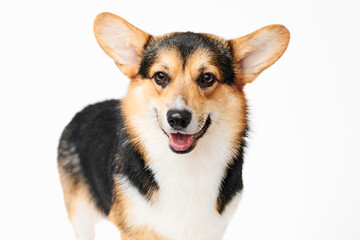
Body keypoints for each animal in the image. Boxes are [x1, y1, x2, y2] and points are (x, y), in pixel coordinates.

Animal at [58, 12, 290, 240]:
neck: (185, 167)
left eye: (207, 78)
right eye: (160, 76)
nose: (178, 118)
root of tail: (85, 110)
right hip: (81, 214)